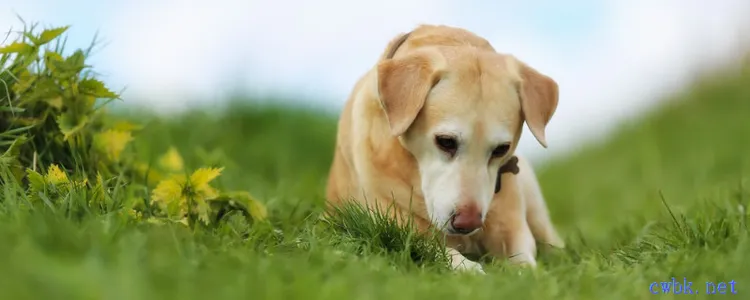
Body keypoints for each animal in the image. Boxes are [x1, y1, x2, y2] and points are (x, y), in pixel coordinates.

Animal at [326, 24, 568, 274]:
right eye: (446, 141)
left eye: (501, 149)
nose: (467, 223)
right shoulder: (392, 221)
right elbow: (435, 246)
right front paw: (469, 267)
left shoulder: (513, 226)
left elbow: (524, 262)